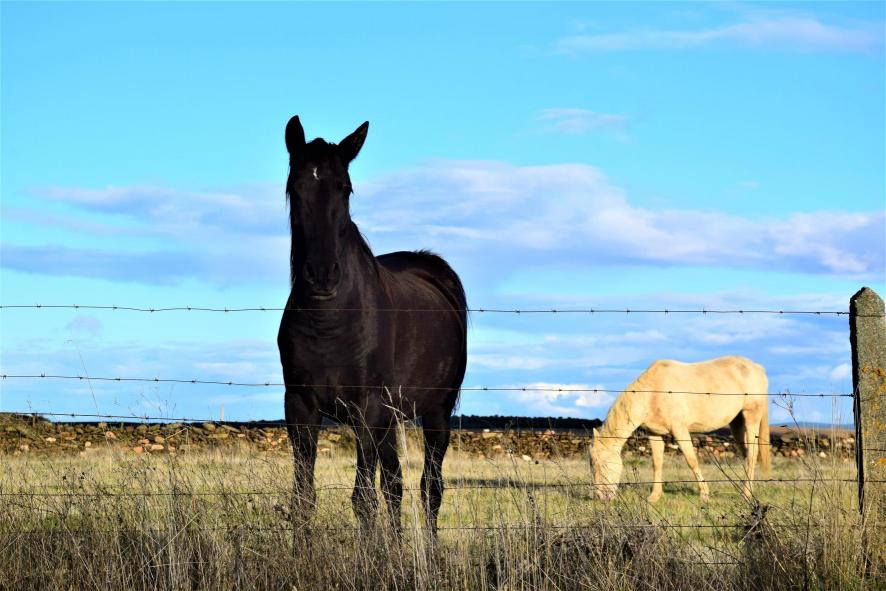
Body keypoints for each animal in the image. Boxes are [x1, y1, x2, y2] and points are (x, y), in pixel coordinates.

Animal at [277, 116, 468, 536]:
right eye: (295, 188)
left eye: (345, 188)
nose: (322, 276)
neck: (331, 323)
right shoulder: (300, 407)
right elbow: (304, 498)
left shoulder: (368, 409)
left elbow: (364, 500)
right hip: (392, 419)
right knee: (395, 485)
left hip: (436, 412)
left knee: (430, 489)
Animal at [590, 355, 770, 503]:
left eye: (603, 464)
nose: (600, 497)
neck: (653, 392)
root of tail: (757, 367)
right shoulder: (654, 433)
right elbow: (657, 463)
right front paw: (654, 497)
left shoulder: (679, 430)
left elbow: (691, 460)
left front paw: (704, 495)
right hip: (737, 423)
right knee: (747, 454)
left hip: (751, 417)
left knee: (752, 454)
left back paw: (746, 494)